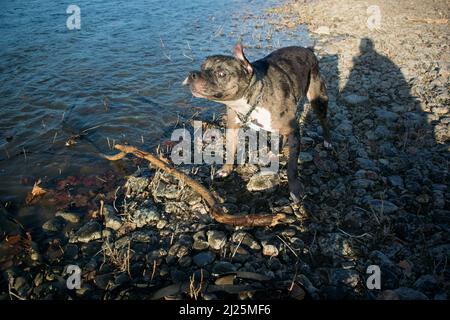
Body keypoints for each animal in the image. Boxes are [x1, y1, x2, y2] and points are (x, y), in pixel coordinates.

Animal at [183, 43, 330, 202]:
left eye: (221, 74)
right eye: (202, 67)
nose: (192, 74)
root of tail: (307, 50)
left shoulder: (293, 131)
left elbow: (292, 167)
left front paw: (295, 190)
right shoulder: (232, 128)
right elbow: (230, 151)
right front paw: (225, 170)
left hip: (318, 98)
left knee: (325, 121)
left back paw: (328, 141)